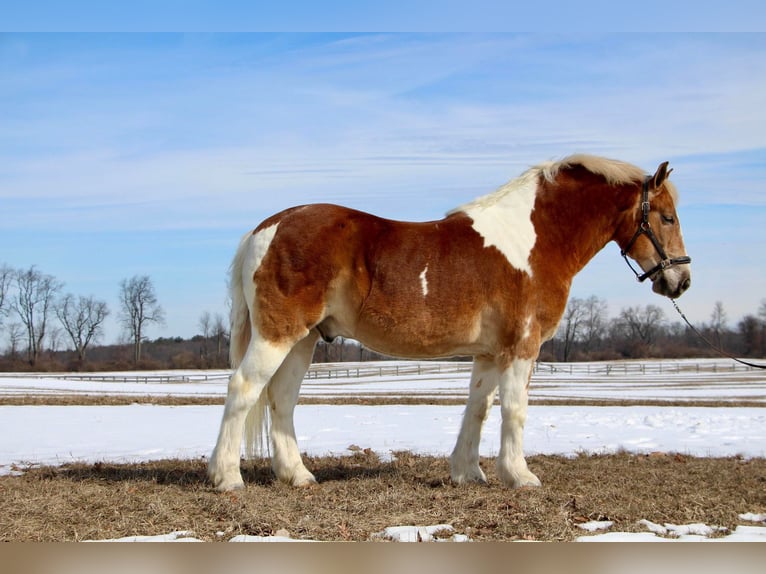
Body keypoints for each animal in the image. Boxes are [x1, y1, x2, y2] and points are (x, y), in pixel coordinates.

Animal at [210, 155, 696, 492]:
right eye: (667, 217)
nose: (681, 281)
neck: (533, 241)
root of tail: (266, 229)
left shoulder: (489, 352)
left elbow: (478, 408)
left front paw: (468, 473)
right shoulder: (523, 347)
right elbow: (515, 410)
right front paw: (520, 476)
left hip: (303, 340)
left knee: (281, 400)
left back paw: (297, 475)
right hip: (278, 335)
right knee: (243, 388)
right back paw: (227, 477)